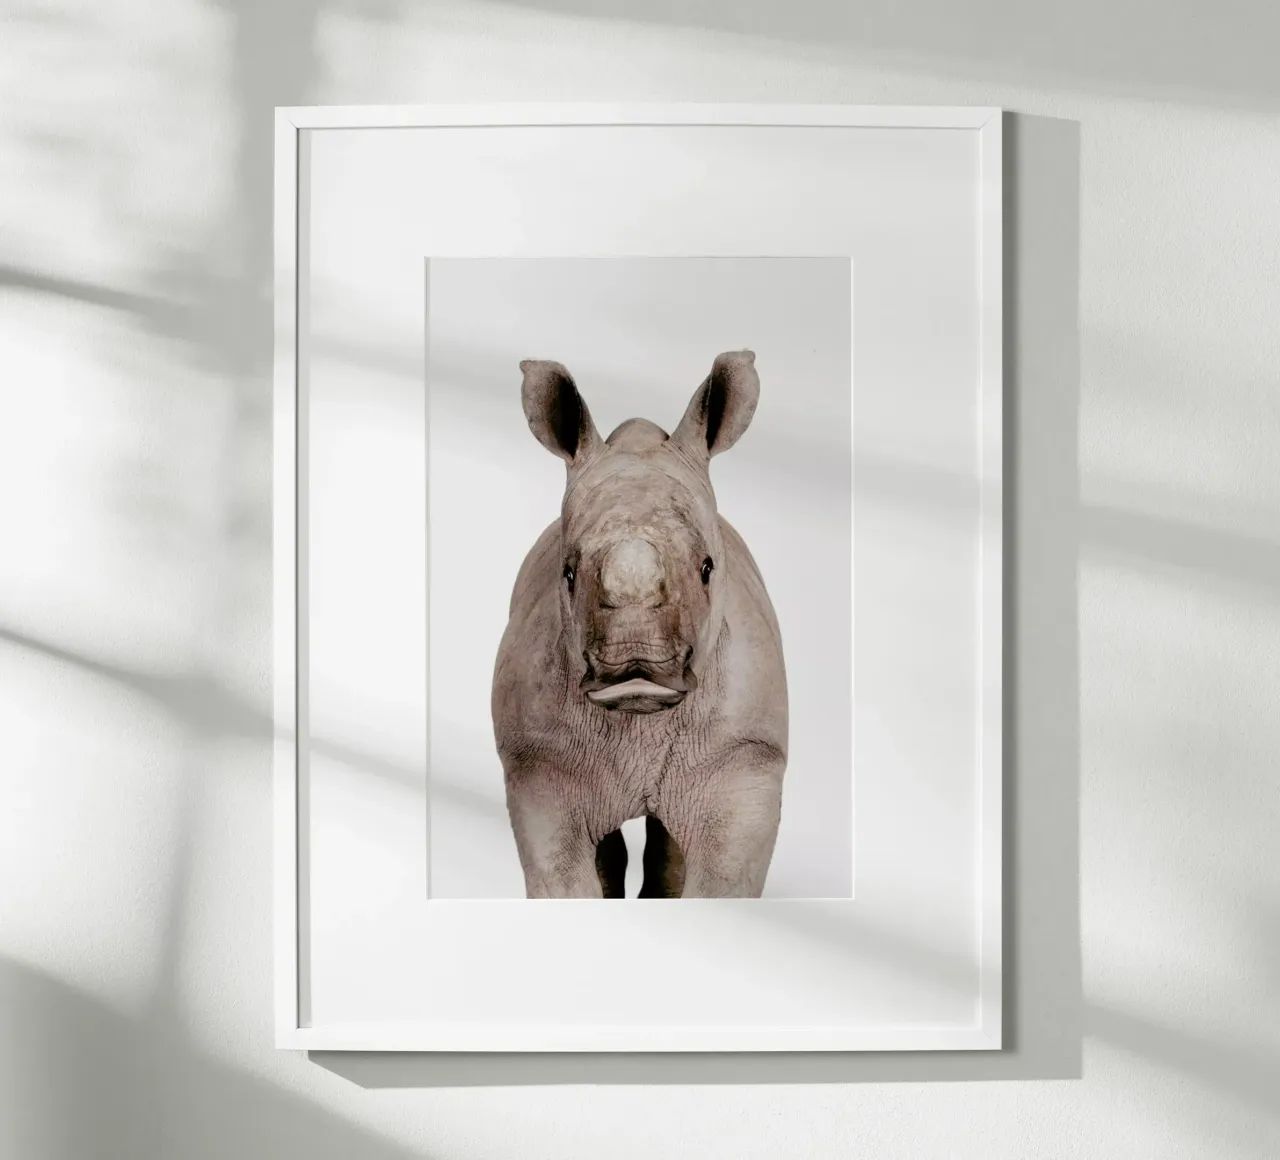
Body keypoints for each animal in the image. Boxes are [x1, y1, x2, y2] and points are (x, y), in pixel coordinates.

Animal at [491, 350, 788, 898]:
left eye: (708, 568)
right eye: (567, 574)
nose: (636, 668)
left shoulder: (744, 760)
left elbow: (722, 880)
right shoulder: (538, 763)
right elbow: (563, 877)